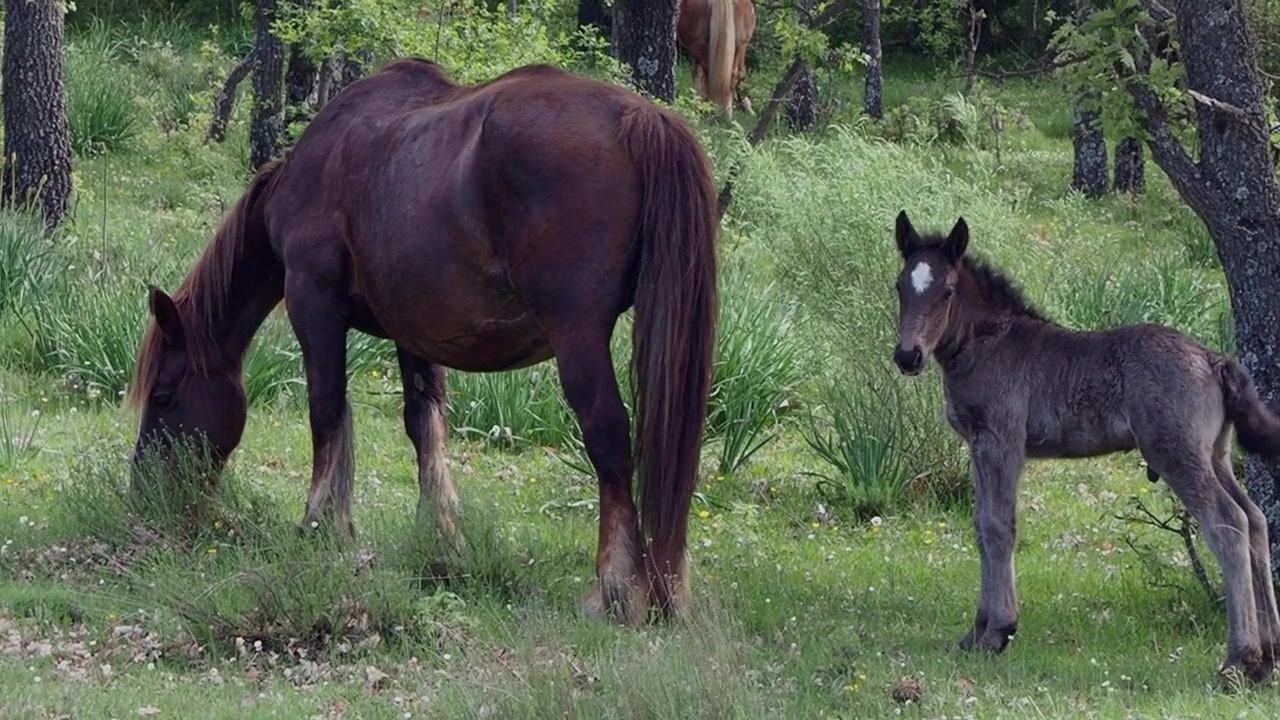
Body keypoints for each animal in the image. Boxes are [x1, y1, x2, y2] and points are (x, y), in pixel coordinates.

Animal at [126, 58, 720, 628]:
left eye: (163, 395)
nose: (144, 492)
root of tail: (640, 118)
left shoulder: (312, 304)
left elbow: (327, 413)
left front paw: (322, 524)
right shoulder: (414, 330)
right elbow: (424, 425)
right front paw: (441, 536)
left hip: (578, 337)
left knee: (610, 440)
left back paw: (615, 591)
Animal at [890, 210, 1280, 684]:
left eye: (946, 291)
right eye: (900, 287)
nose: (907, 356)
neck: (989, 341)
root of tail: (1213, 358)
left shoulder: (1001, 441)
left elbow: (999, 526)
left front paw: (998, 631)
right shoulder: (978, 444)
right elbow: (981, 526)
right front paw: (975, 632)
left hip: (1176, 453)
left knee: (1228, 525)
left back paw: (1239, 658)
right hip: (1216, 456)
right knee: (1255, 519)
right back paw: (1268, 655)